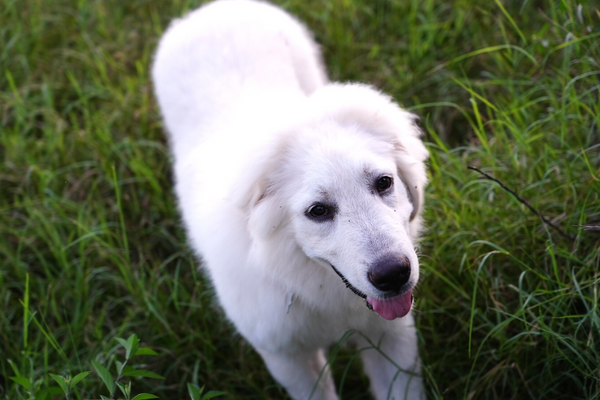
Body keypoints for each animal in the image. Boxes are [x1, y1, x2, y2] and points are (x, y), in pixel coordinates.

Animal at [152, 1, 428, 398]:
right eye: (318, 211)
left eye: (384, 182)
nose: (393, 275)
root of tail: (213, 8)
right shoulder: (287, 360)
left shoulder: (391, 336)